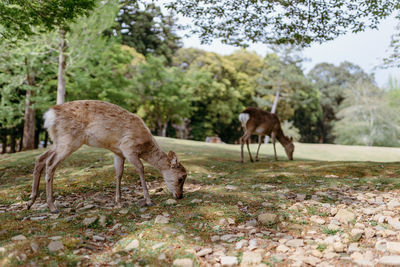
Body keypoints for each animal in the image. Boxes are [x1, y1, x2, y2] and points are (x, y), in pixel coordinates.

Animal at [27, 100, 187, 214]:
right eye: (180, 178)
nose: (180, 196)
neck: (145, 147)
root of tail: (50, 115)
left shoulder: (118, 152)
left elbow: (119, 173)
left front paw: (118, 202)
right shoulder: (128, 147)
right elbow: (141, 169)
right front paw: (148, 201)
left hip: (58, 140)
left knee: (40, 158)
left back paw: (30, 202)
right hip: (69, 140)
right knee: (50, 163)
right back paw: (52, 207)